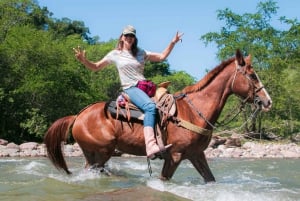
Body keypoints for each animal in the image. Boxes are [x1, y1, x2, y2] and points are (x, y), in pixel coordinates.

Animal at [44, 49, 272, 183]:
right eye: (252, 75)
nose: (267, 101)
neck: (195, 111)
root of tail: (78, 115)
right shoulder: (175, 156)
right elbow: (164, 179)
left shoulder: (197, 154)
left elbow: (210, 179)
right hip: (100, 153)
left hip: (95, 155)